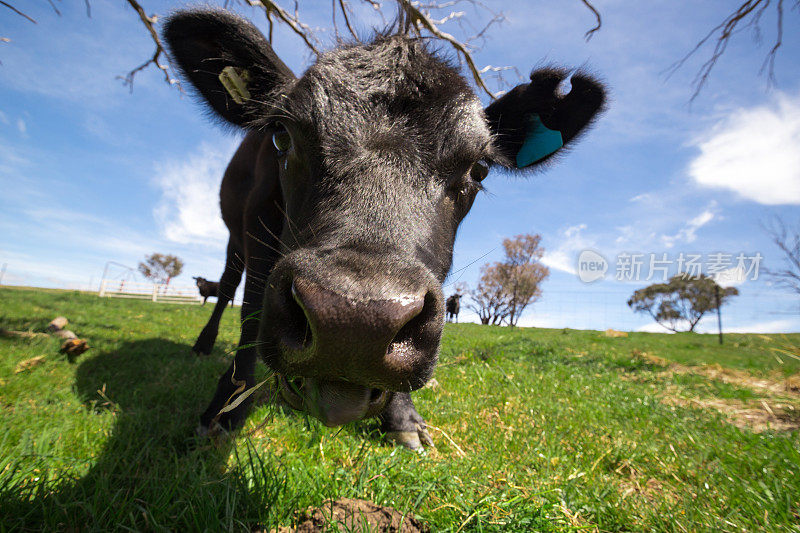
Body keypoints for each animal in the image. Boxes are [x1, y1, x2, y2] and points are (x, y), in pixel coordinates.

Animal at [164, 9, 608, 448]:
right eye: (282, 136)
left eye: (479, 168)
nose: (355, 321)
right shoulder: (257, 224)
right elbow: (251, 311)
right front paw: (226, 408)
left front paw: (403, 418)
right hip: (235, 237)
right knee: (226, 288)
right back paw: (203, 345)